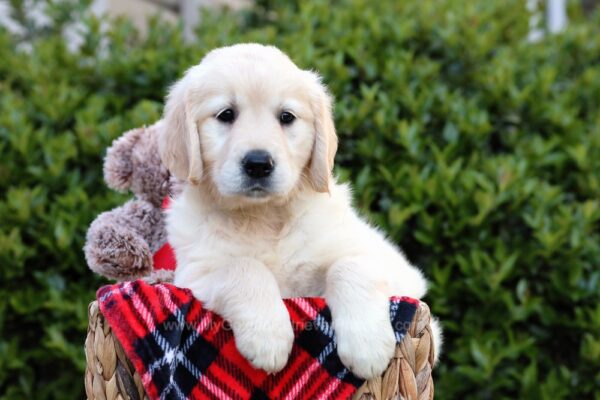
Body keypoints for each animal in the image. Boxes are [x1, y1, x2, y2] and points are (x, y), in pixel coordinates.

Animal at [159, 44, 440, 382]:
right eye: (226, 115)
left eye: (286, 117)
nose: (258, 164)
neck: (264, 217)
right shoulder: (194, 275)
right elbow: (243, 267)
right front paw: (268, 336)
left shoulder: (382, 262)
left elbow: (350, 267)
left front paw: (367, 345)